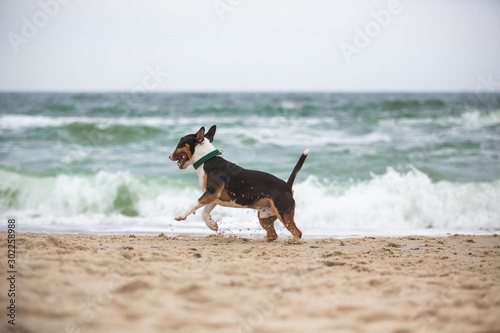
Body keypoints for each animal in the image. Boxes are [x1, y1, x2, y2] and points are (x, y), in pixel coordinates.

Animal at [169, 124, 308, 239]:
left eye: (181, 142)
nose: (169, 156)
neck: (207, 160)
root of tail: (287, 185)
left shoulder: (212, 192)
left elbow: (194, 204)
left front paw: (181, 215)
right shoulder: (214, 196)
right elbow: (204, 212)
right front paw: (212, 225)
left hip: (283, 213)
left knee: (297, 232)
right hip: (264, 217)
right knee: (273, 234)